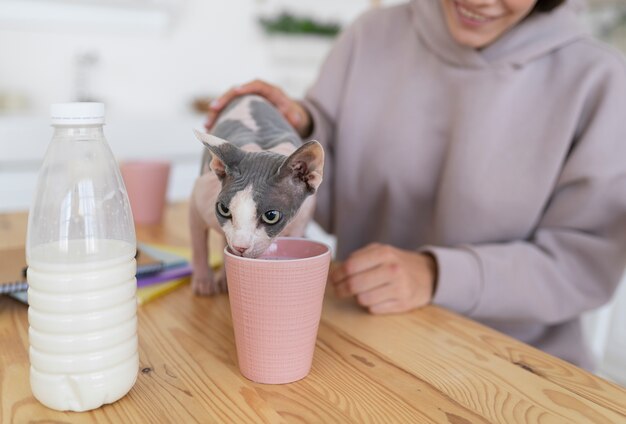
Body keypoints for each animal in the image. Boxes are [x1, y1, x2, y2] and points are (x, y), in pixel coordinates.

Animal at [189, 95, 322, 294]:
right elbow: (199, 245)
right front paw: (204, 281)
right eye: (224, 209)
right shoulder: (199, 198)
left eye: (271, 216)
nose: (240, 247)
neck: (262, 146)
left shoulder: (303, 217)